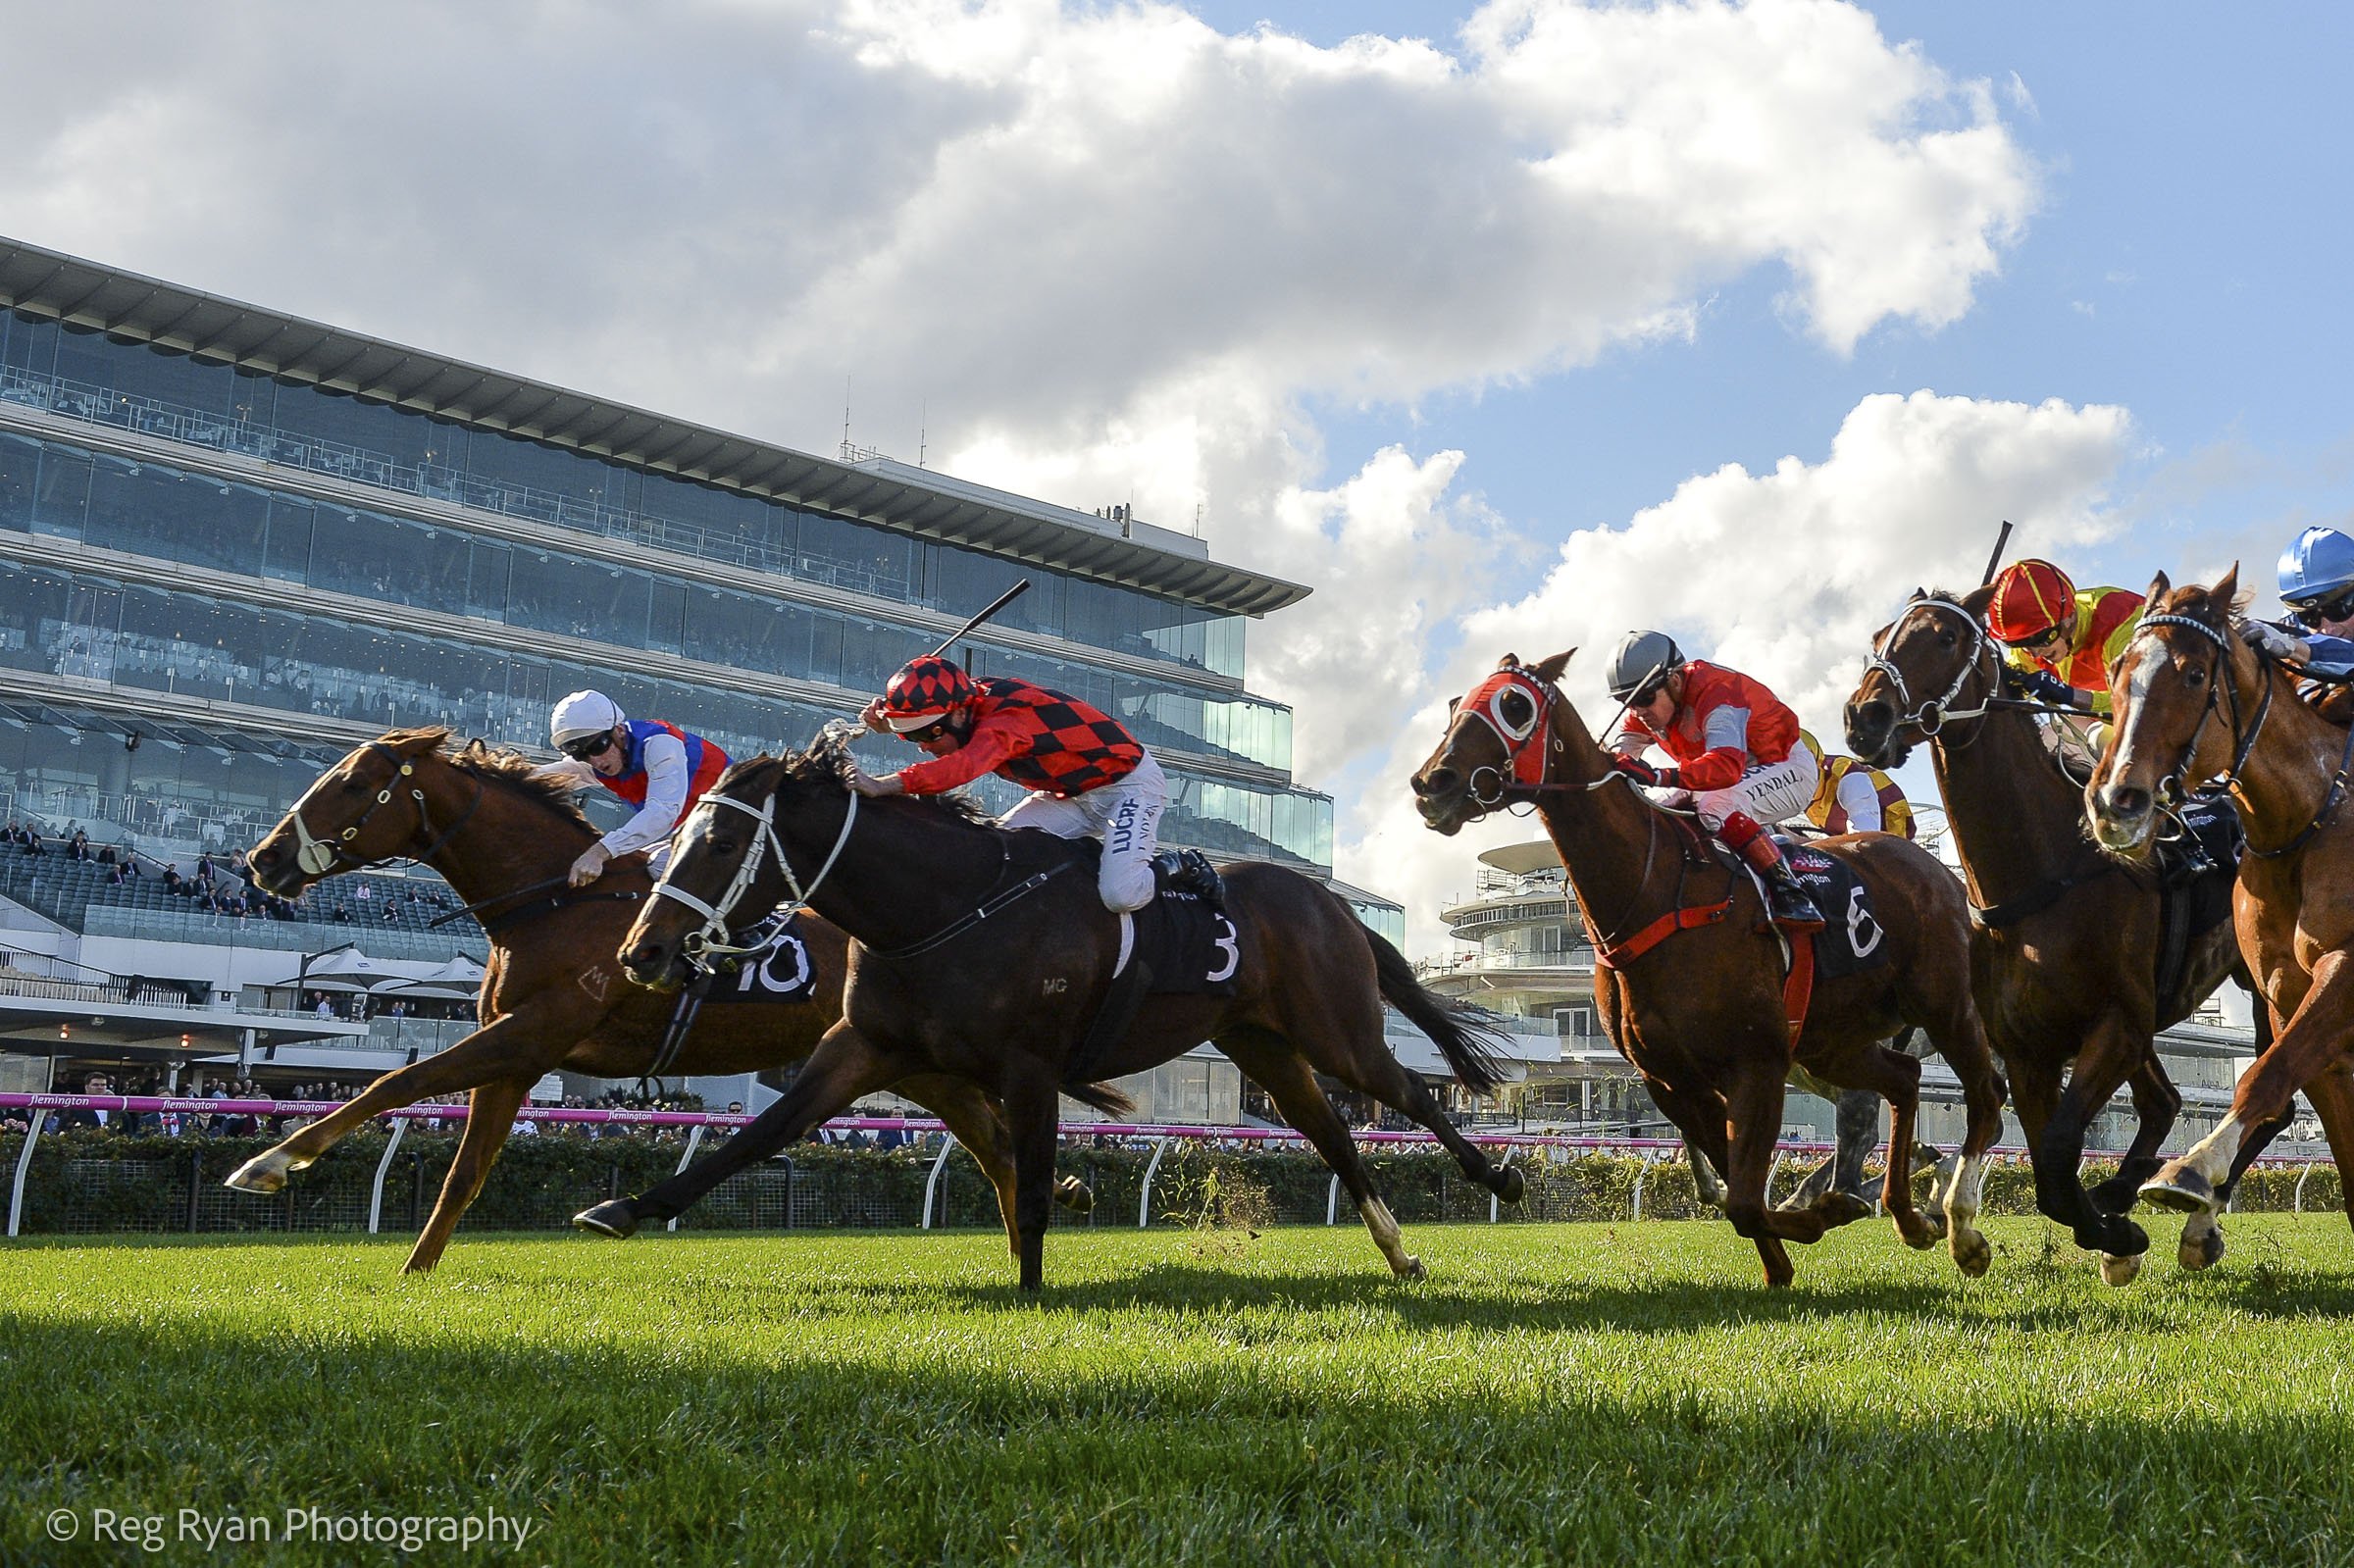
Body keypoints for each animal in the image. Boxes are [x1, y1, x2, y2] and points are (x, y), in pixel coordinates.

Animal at [238, 730, 1083, 1271]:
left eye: (352, 783)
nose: (263, 858)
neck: (552, 903)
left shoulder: (532, 1034)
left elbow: (397, 1080)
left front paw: (273, 1161)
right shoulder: (517, 1059)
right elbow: (463, 1174)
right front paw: (414, 1274)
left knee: (1000, 1150)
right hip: (916, 1064)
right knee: (998, 1150)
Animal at [574, 725, 1525, 1290]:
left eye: (722, 840)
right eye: (680, 834)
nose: (641, 951)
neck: (944, 909)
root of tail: (1334, 906)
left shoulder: (1029, 1064)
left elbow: (1030, 1182)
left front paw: (1030, 1290)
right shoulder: (865, 1043)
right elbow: (762, 1133)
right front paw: (624, 1209)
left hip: (1335, 1030)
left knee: (1409, 1091)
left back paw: (1499, 1177)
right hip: (1262, 1045)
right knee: (1331, 1132)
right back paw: (1398, 1249)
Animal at [1412, 644, 2005, 1281]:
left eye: (1515, 705)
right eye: (1457, 704)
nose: (1432, 783)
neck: (1653, 891)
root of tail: (1939, 872)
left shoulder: (1757, 1063)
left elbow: (1745, 1198)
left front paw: (1815, 1216)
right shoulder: (1670, 1080)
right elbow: (1733, 1193)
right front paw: (1792, 1250)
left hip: (1943, 1008)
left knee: (1983, 1095)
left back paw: (1956, 1223)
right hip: (1834, 1045)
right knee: (1903, 1082)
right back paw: (1905, 1212)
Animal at [1845, 585, 2269, 1281]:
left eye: (1945, 638)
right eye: (1880, 637)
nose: (1865, 717)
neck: (2043, 874)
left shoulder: (2117, 1026)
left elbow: (2062, 1147)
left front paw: (2117, 1233)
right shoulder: (2028, 1048)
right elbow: (2048, 1173)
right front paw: (2109, 1230)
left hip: (2260, 988)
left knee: (2264, 1099)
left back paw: (2195, 1218)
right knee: (2163, 1102)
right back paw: (2123, 1194)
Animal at [2090, 567, 2354, 1214]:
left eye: (2192, 674)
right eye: (2119, 669)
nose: (2115, 802)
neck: (2304, 819)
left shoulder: (2346, 967)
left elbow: (2267, 1076)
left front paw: (2189, 1169)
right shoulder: (2283, 994)